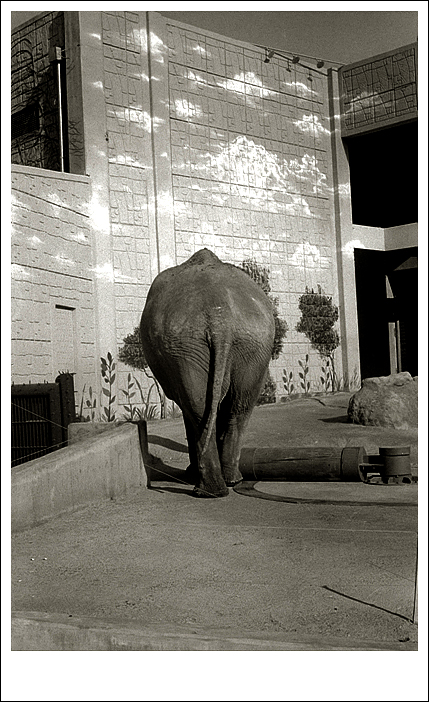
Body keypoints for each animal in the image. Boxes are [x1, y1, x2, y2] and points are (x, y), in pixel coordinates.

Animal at [140, 248, 275, 497]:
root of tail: (220, 317)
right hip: (251, 344)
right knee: (238, 406)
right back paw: (227, 483)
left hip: (186, 344)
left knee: (198, 406)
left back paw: (207, 490)